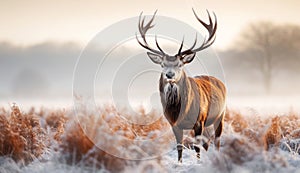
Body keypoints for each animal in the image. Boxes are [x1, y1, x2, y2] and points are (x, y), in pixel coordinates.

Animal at [135, 9, 225, 163]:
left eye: (180, 64)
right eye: (162, 64)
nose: (169, 75)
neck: (179, 111)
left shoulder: (199, 121)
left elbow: (197, 147)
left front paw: (198, 163)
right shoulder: (174, 124)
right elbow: (179, 146)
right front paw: (179, 163)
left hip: (220, 115)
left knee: (217, 141)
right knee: (208, 142)